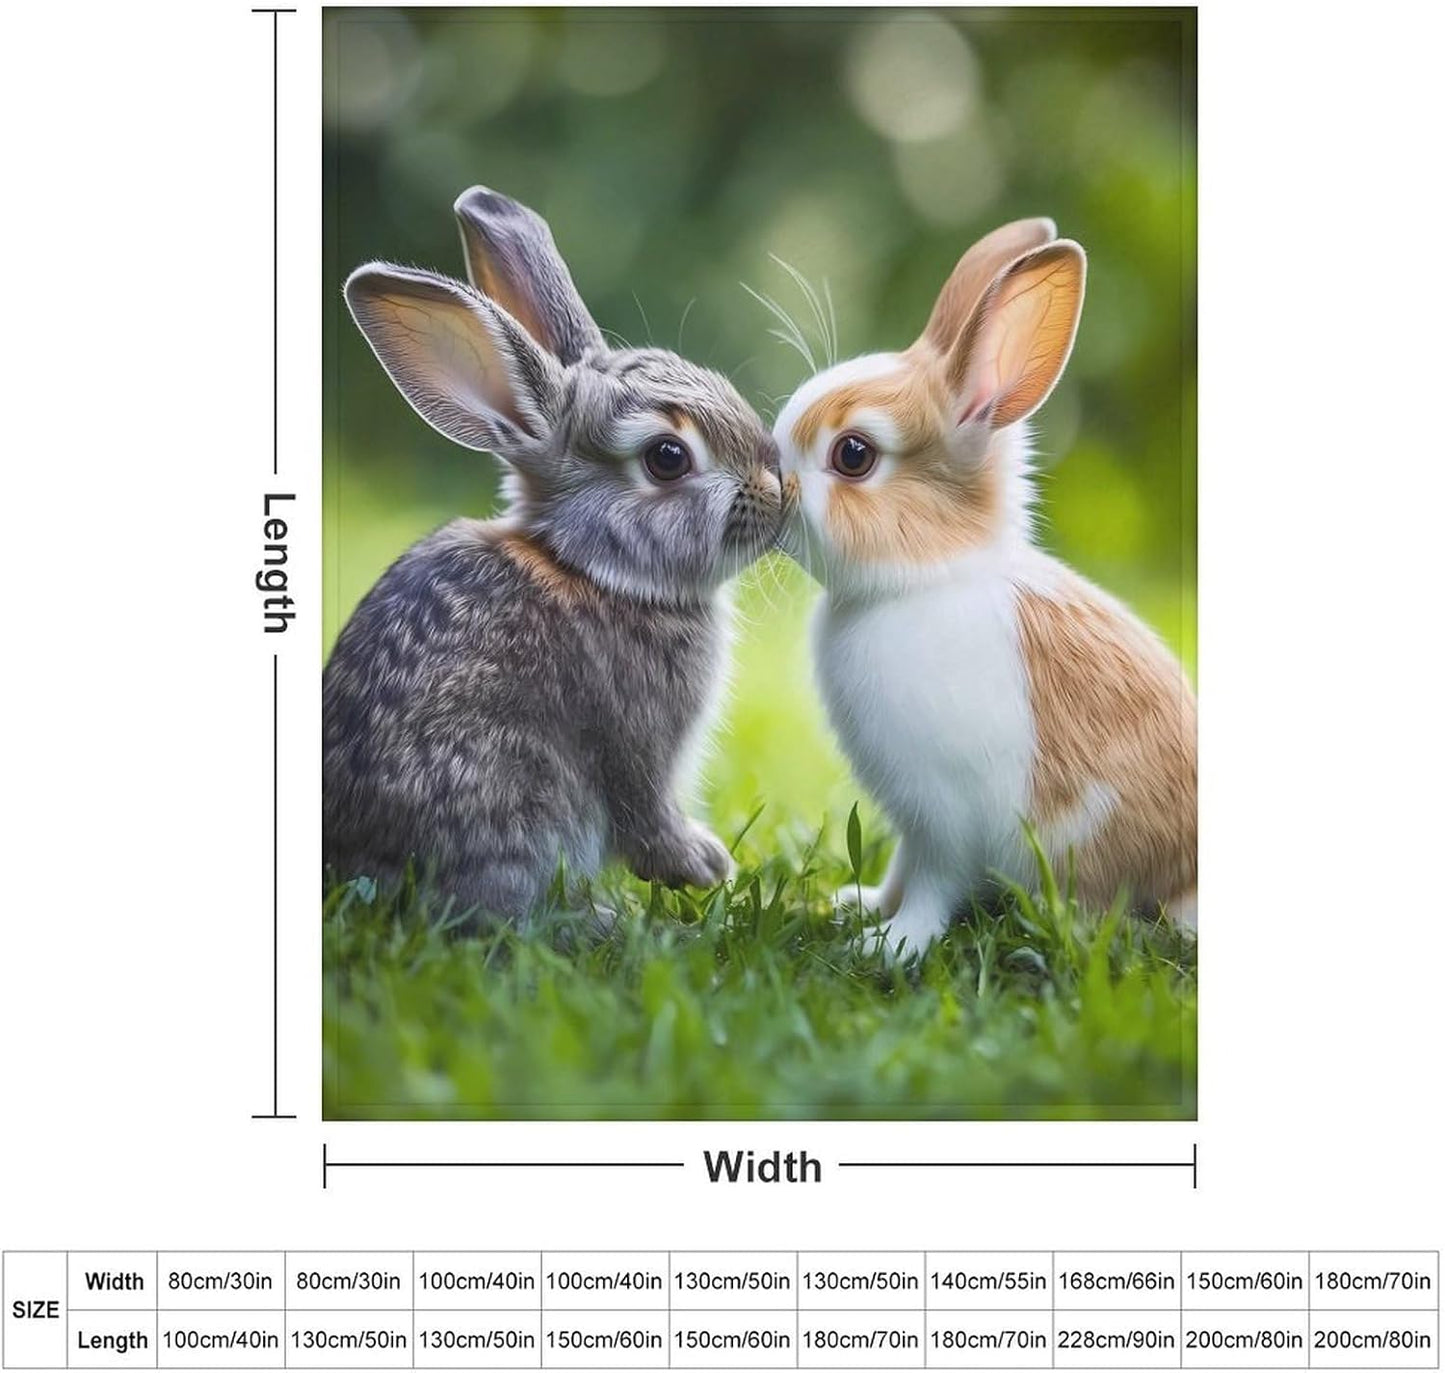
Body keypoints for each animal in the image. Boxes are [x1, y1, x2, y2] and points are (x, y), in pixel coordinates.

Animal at [324, 186, 783, 925]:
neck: (592, 569)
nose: (779, 490)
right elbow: (644, 812)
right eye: (667, 457)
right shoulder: (636, 740)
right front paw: (705, 863)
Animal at [772, 217, 1196, 960]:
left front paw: (890, 944)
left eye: (853, 455)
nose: (770, 478)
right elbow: (901, 869)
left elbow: (932, 884)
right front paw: (860, 904)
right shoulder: (912, 820)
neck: (930, 575)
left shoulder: (946, 818)